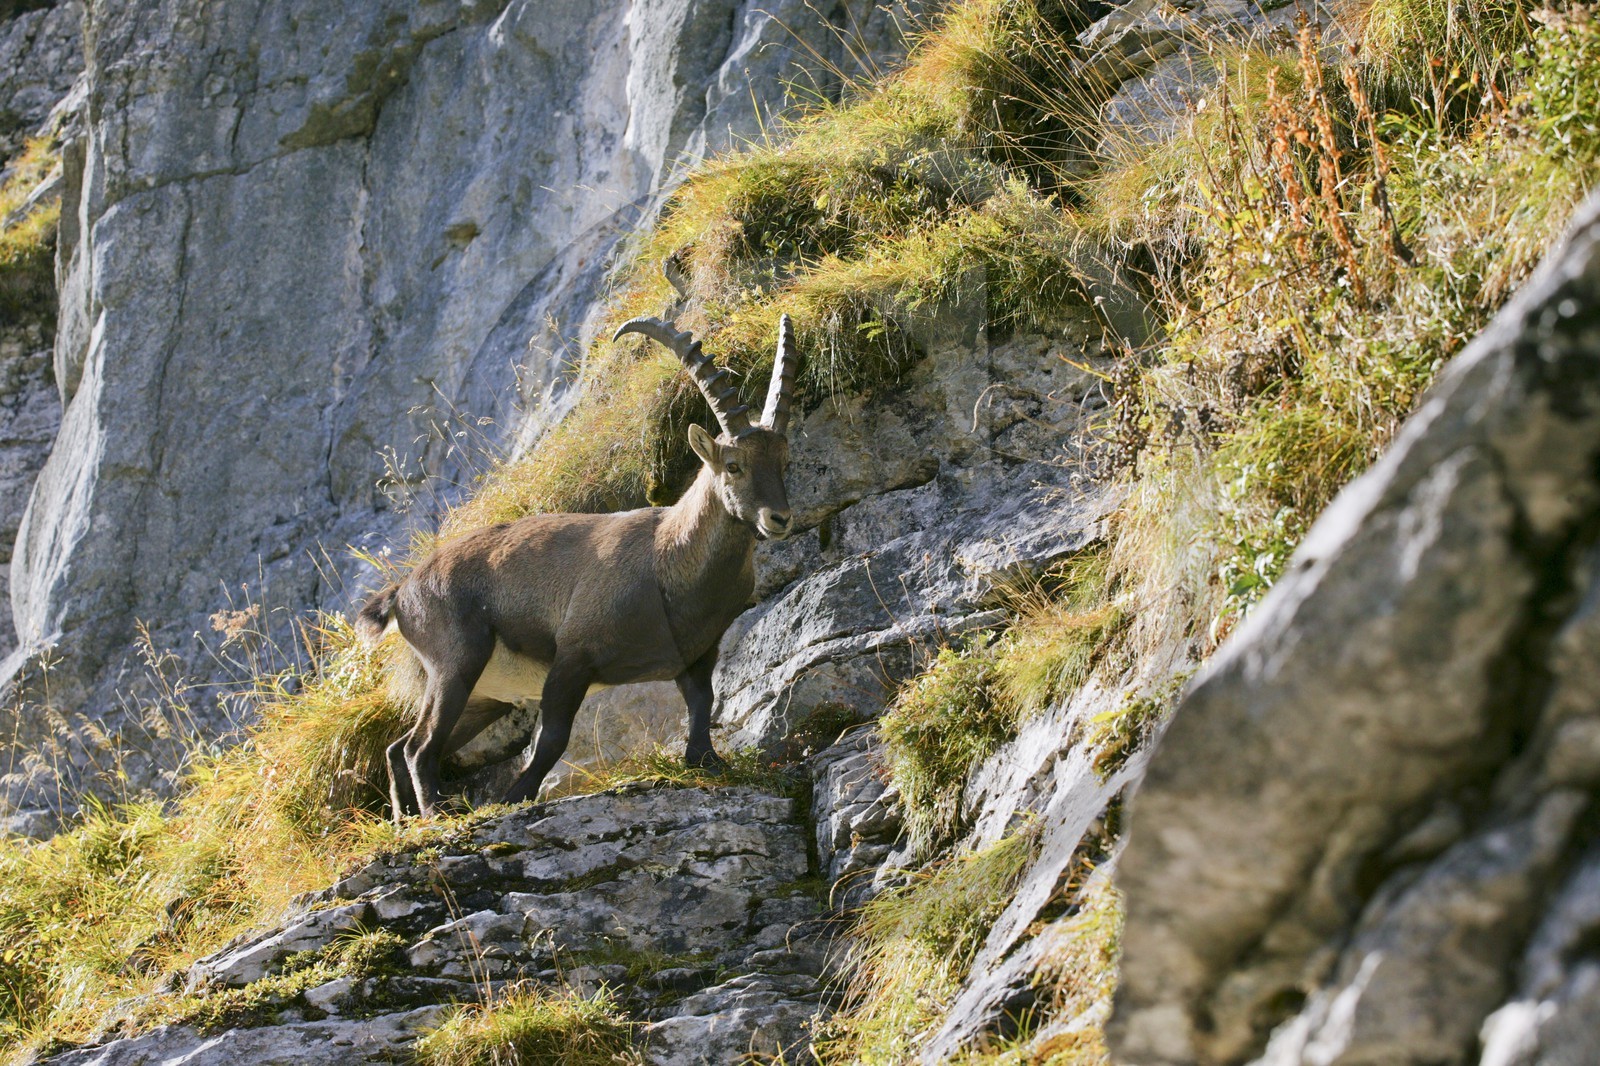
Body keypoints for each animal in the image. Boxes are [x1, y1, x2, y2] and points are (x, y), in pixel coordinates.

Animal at [356, 313, 798, 819]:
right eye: (733, 464)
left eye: (784, 459)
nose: (779, 518)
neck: (667, 557)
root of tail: (403, 590)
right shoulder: (573, 656)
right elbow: (552, 737)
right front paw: (515, 796)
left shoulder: (697, 653)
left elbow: (703, 704)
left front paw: (706, 762)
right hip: (456, 660)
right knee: (419, 746)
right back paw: (434, 813)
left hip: (482, 695)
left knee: (399, 747)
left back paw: (403, 819)